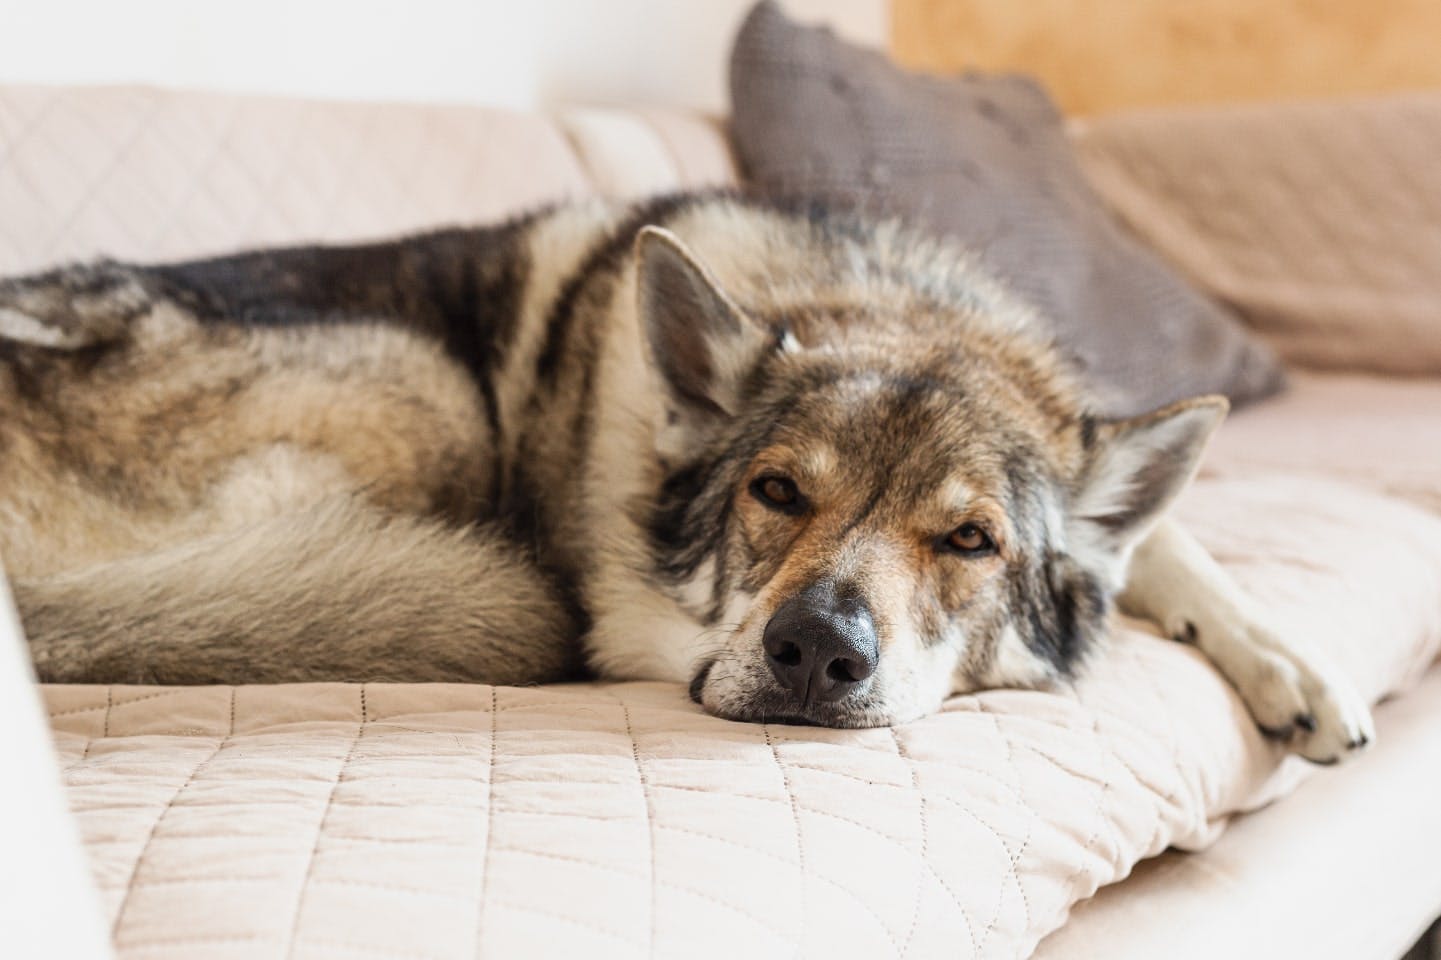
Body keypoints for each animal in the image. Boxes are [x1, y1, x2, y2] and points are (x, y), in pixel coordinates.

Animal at [0, 194, 1371, 761]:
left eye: (969, 542)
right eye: (777, 493)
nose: (816, 654)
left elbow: (1174, 546)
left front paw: (1291, 661)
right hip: (422, 385)